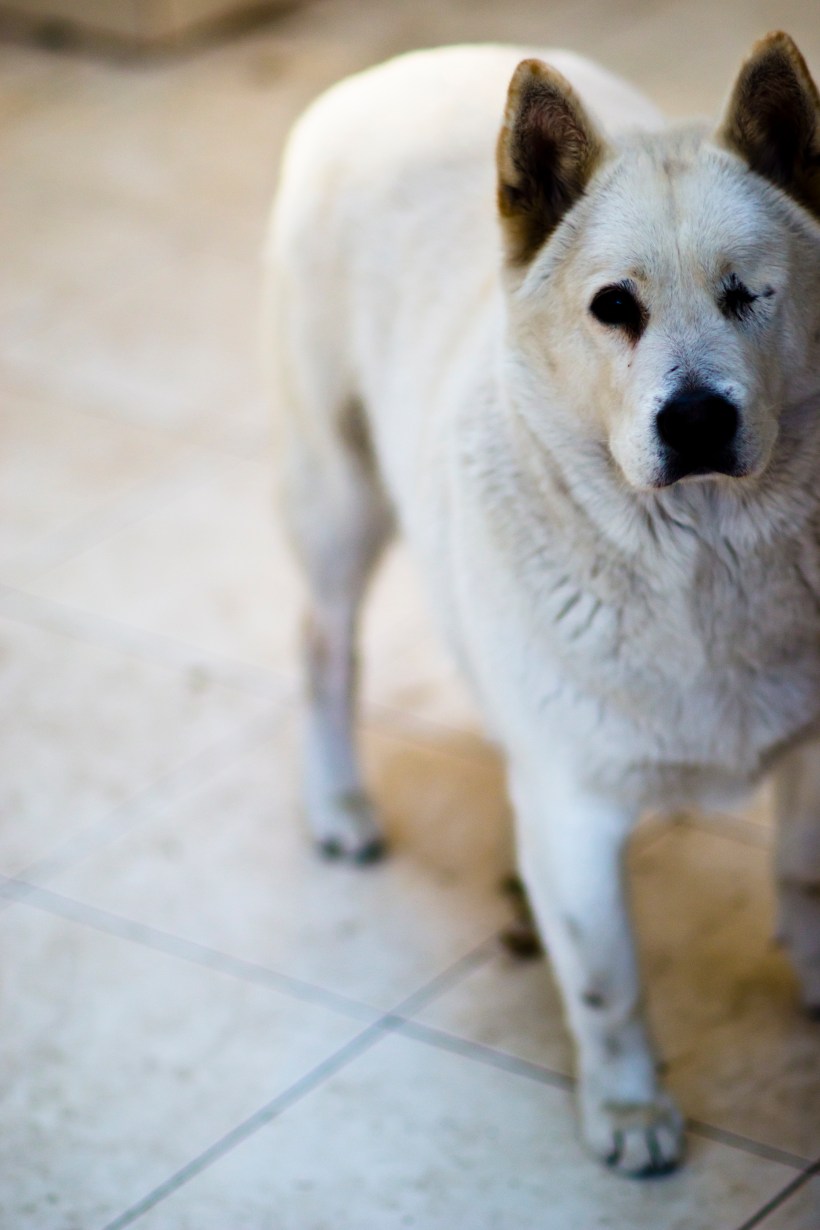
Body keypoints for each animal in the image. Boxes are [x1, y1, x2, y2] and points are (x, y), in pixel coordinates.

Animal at [264, 33, 820, 1175]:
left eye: (749, 294)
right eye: (614, 307)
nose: (696, 420)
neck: (701, 558)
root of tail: (402, 66)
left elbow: (803, 873)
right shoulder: (575, 808)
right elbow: (607, 981)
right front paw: (628, 1108)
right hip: (337, 492)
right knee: (322, 646)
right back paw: (338, 803)